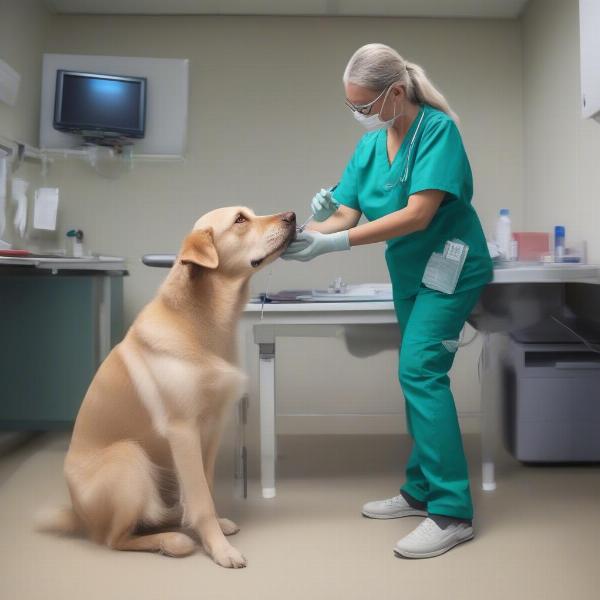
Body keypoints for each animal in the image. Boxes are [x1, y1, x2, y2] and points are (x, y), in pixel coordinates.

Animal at [36, 206, 296, 568]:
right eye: (240, 220)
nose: (293, 216)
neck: (203, 322)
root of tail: (77, 514)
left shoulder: (212, 429)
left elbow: (204, 489)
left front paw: (215, 528)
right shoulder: (183, 431)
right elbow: (201, 499)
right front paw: (219, 549)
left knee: (157, 514)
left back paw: (177, 521)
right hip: (129, 457)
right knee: (114, 539)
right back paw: (172, 541)